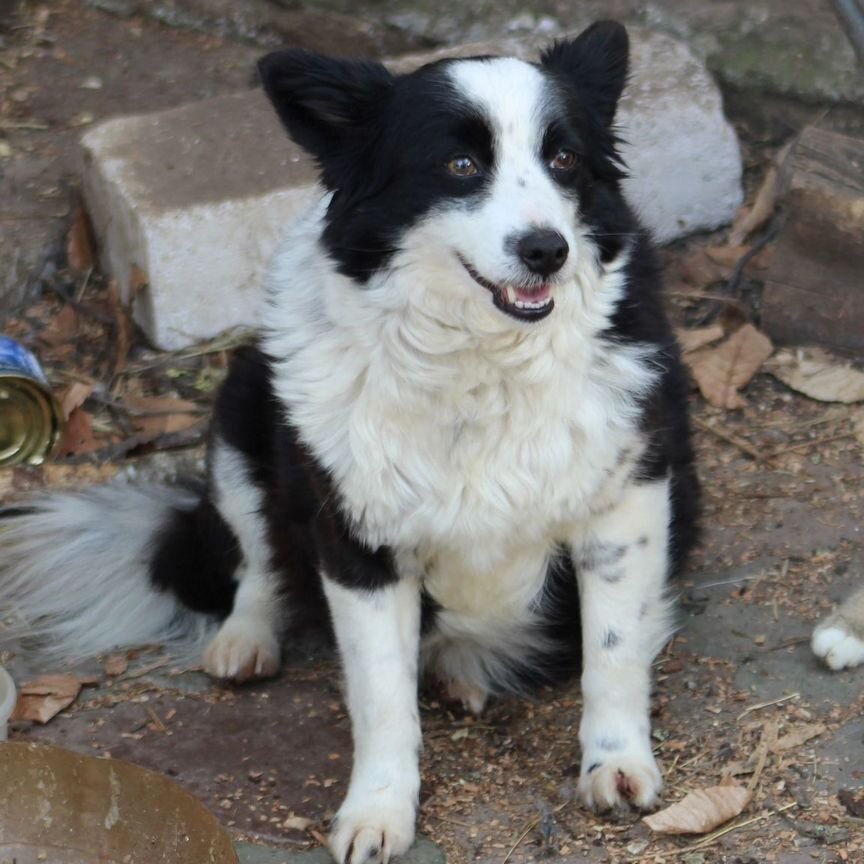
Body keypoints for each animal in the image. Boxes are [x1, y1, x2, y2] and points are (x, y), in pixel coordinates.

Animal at [1, 22, 696, 864]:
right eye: (461, 165)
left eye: (563, 159)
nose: (547, 250)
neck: (480, 361)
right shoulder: (356, 539)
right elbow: (381, 695)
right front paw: (378, 812)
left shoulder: (627, 501)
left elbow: (614, 652)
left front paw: (617, 764)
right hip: (241, 410)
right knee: (257, 561)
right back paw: (245, 640)